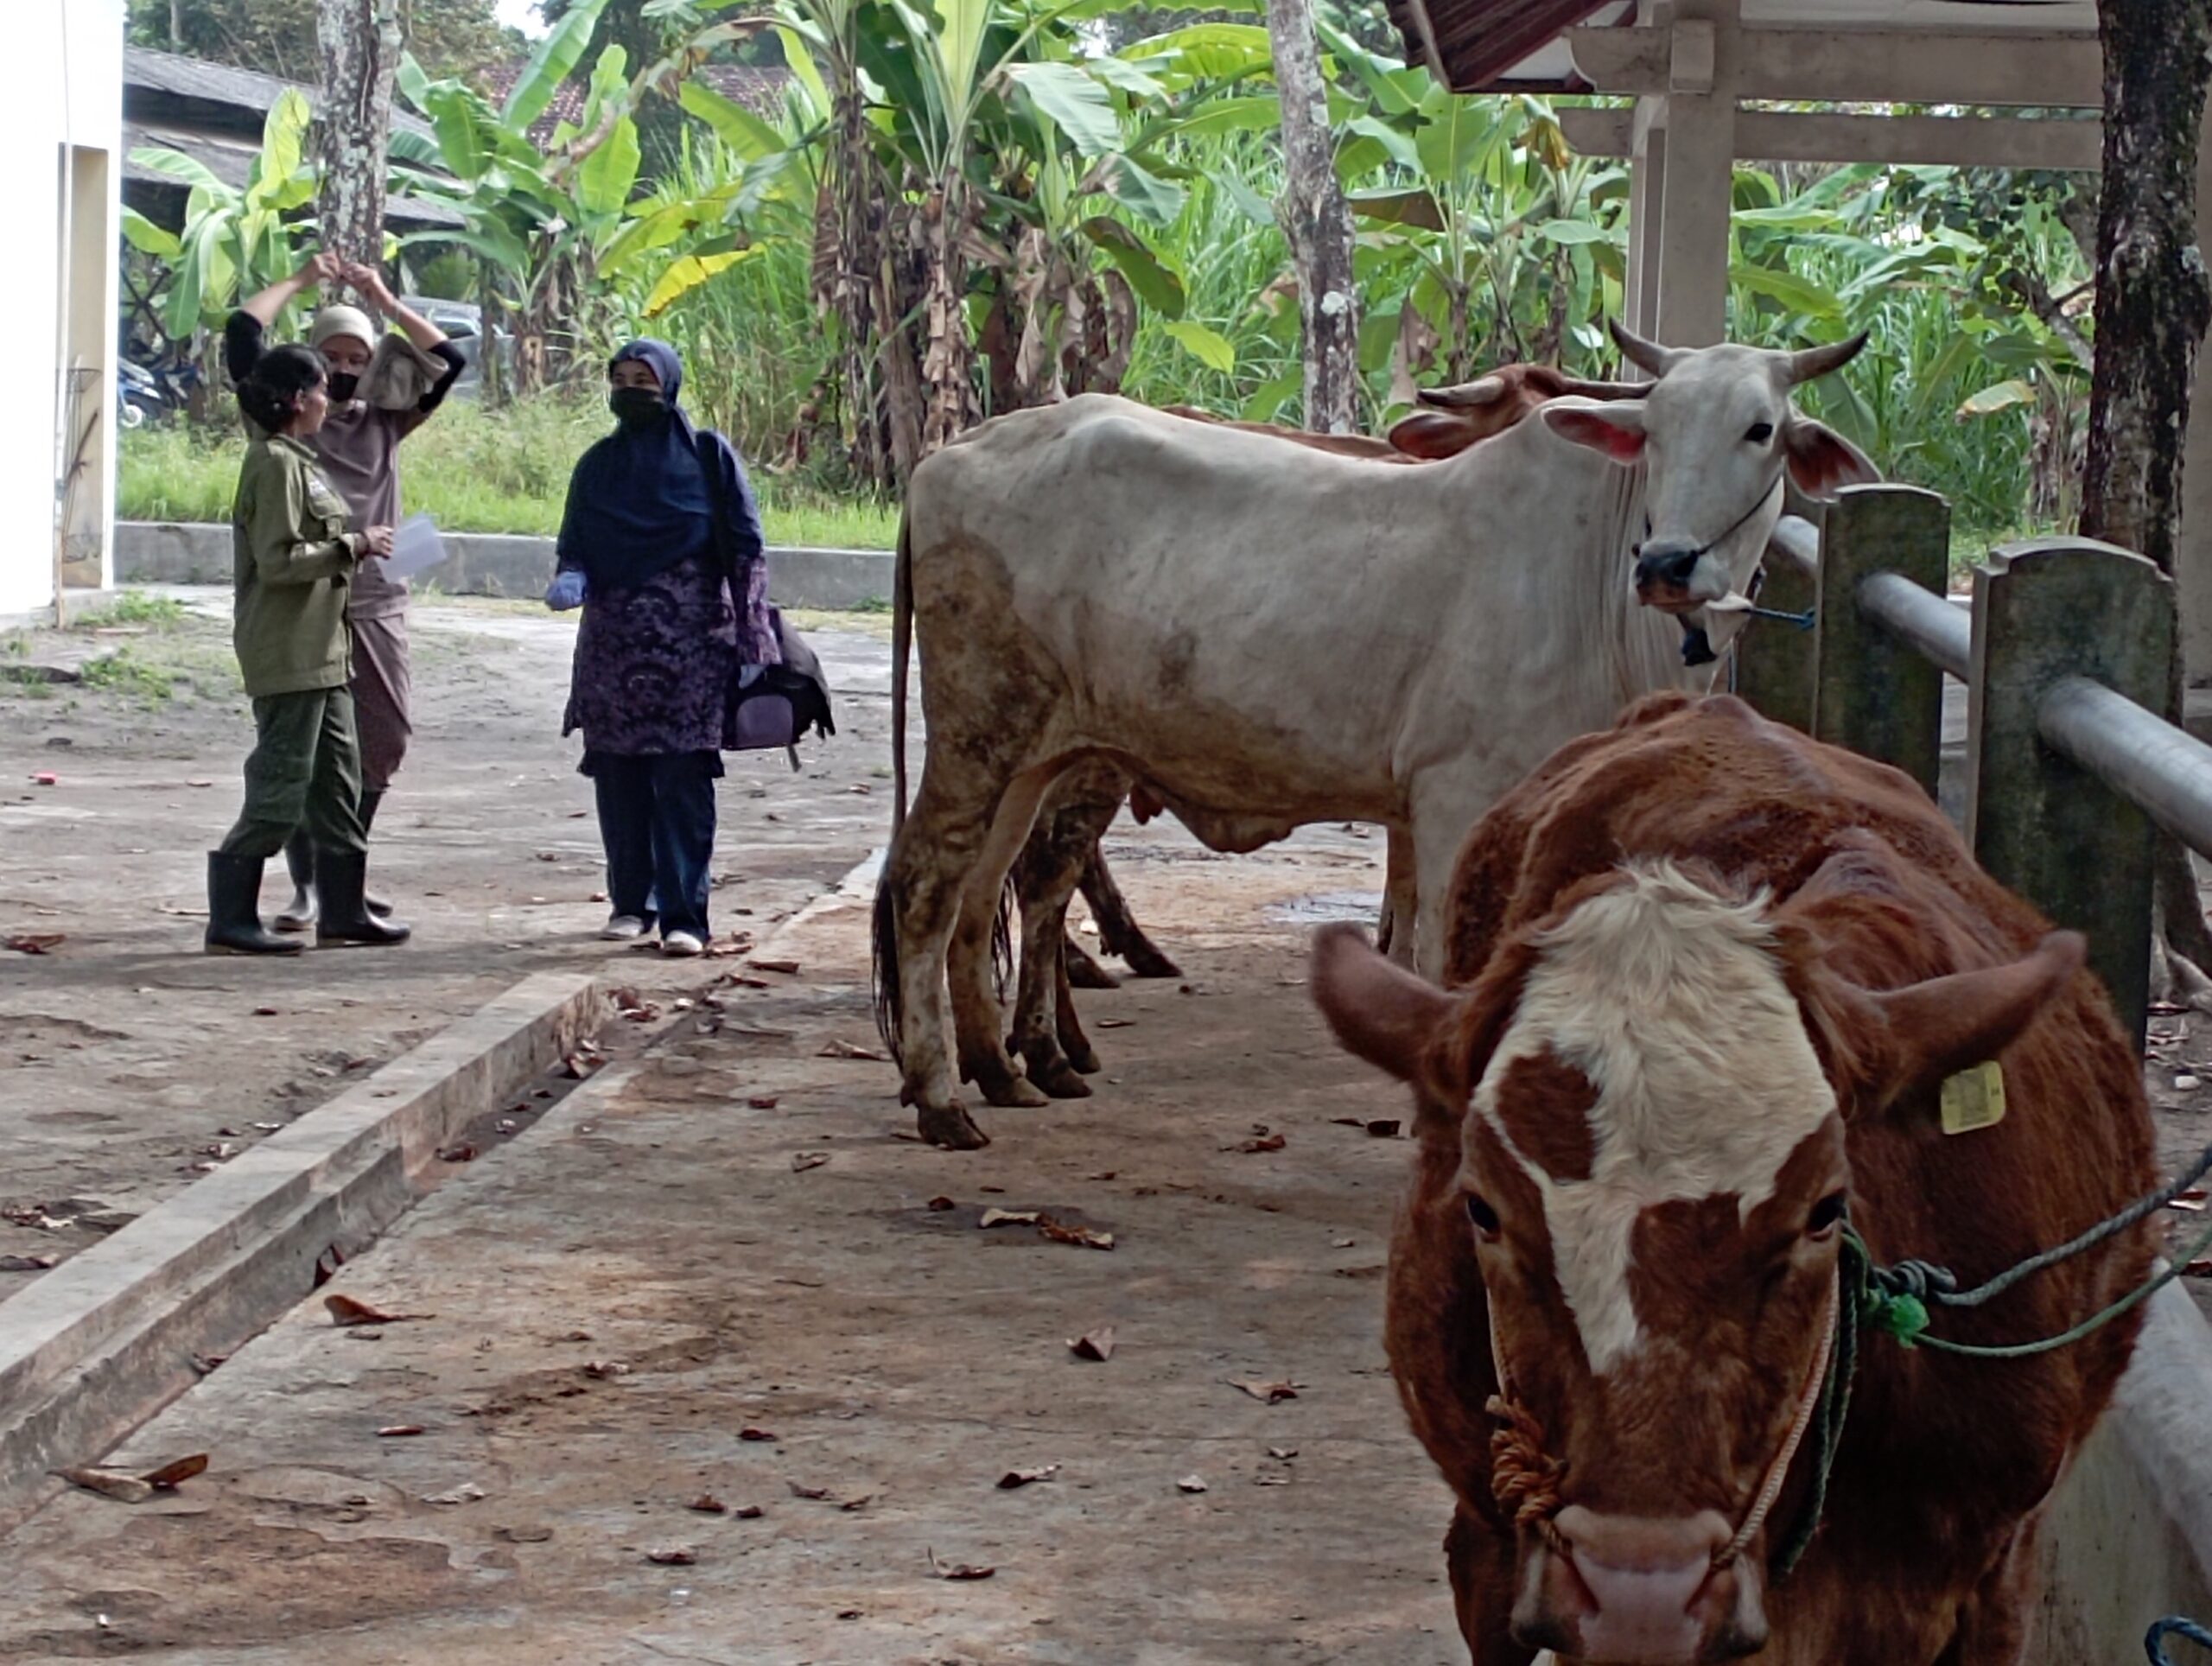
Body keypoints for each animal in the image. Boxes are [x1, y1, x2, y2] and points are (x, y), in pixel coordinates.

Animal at [871, 332, 1875, 1150]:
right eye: (1655, 427)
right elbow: (1448, 964)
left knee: (984, 892)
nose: (1668, 563)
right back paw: (942, 1098)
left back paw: (1000, 1070)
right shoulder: (1453, 798)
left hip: (1034, 754)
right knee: (927, 885)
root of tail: (946, 456)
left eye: (1760, 428)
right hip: (980, 729)